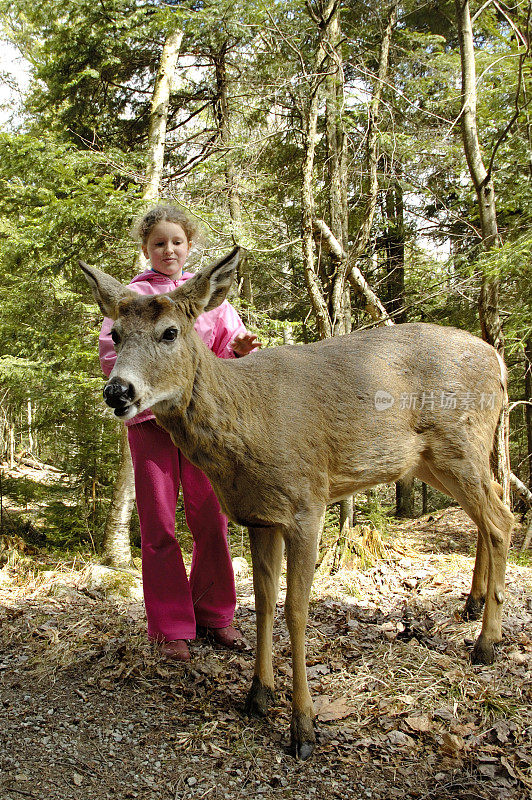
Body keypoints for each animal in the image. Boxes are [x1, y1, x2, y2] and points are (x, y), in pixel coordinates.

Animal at [80, 247, 516, 760]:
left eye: (170, 332)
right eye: (115, 334)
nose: (117, 391)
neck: (249, 422)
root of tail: (500, 363)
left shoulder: (308, 502)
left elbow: (297, 609)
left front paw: (303, 727)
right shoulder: (260, 516)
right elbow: (264, 602)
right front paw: (258, 694)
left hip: (460, 442)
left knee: (502, 518)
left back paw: (486, 643)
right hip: (435, 459)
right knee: (489, 513)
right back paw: (472, 605)